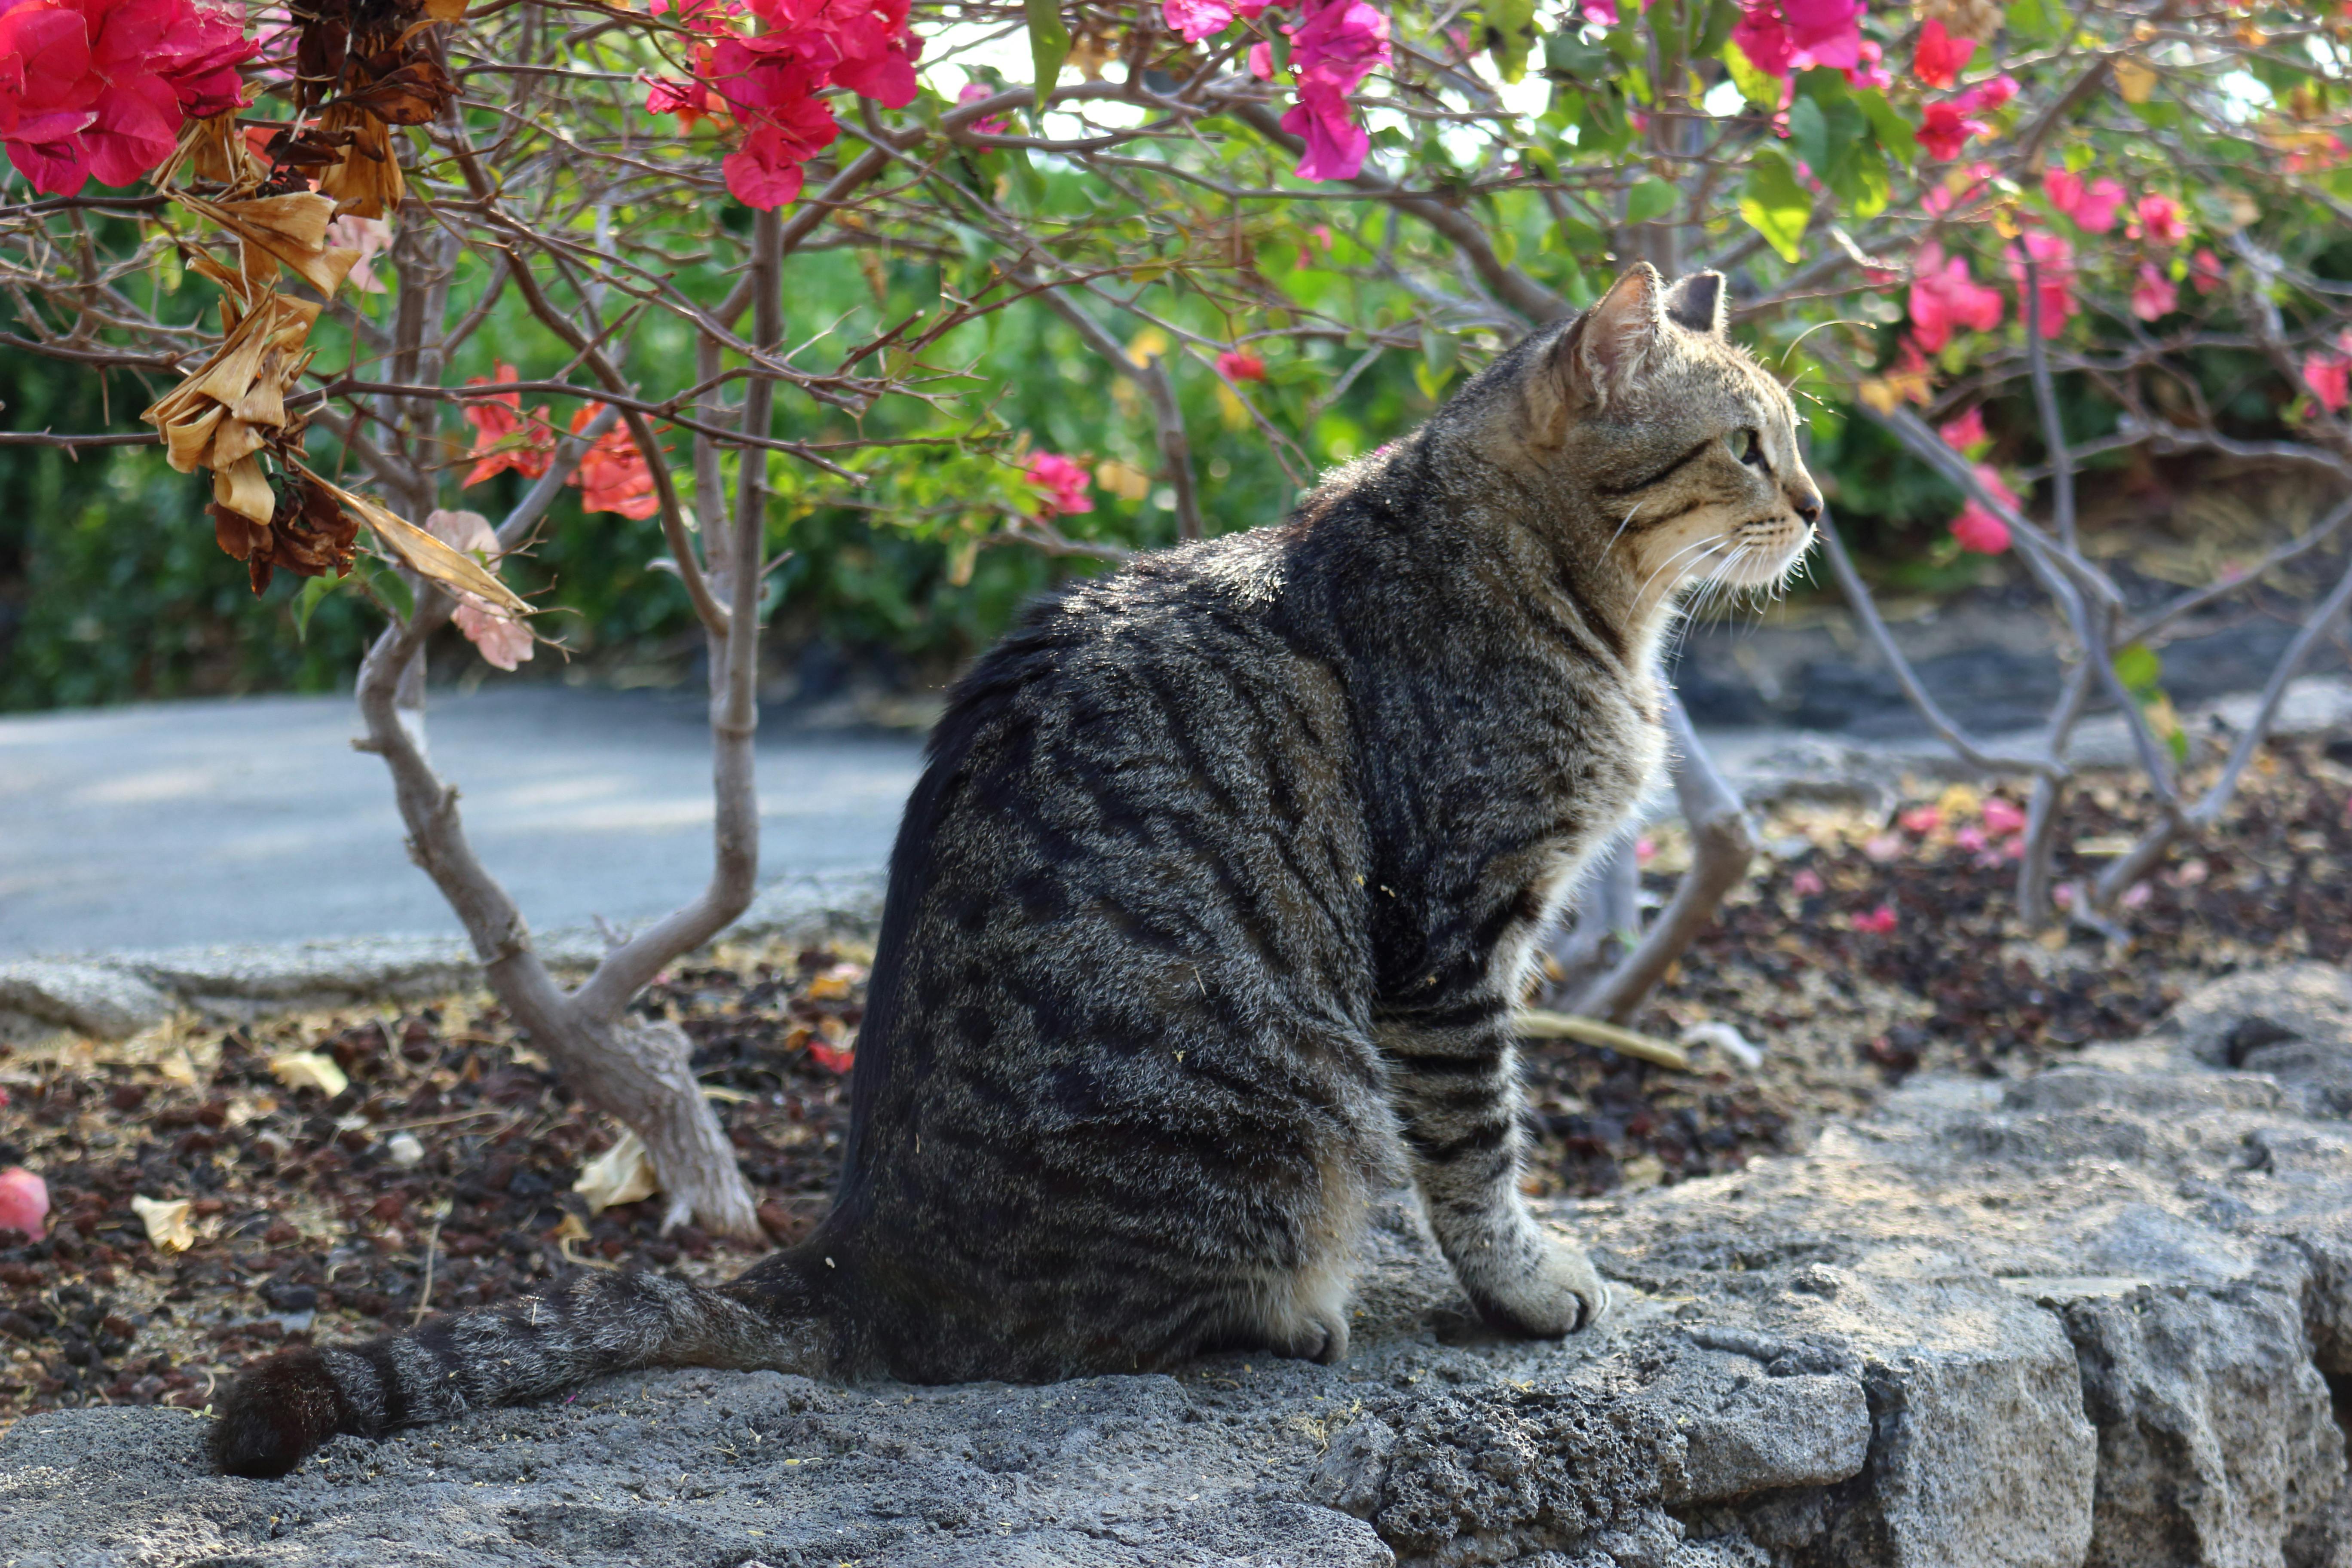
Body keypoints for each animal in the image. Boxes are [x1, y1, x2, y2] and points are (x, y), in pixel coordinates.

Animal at [211, 263, 1816, 1476]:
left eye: (1798, 436)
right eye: (1749, 441)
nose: (1815, 506)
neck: (1575, 594)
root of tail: (856, 1252)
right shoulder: (1449, 934)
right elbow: (1479, 1150)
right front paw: (1529, 1284)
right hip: (1292, 1128)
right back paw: (1294, 1312)